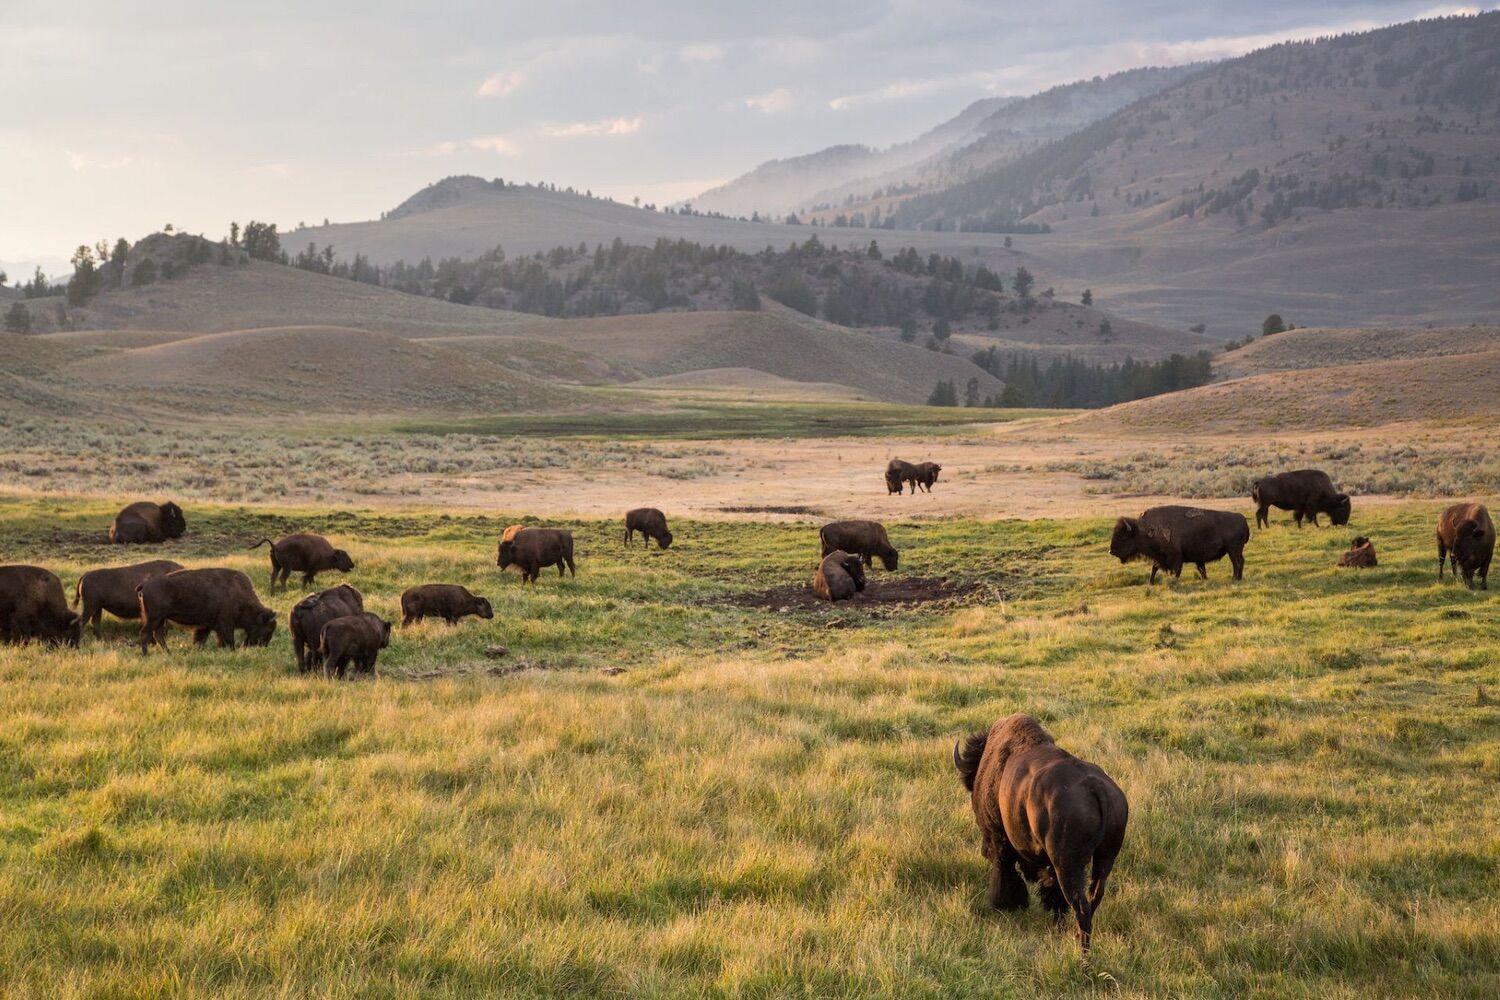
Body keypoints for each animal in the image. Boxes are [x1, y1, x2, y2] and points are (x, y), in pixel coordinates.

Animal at [137, 568, 276, 653]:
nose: (263, 646)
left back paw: (169, 653)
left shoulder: (206, 626)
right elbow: (228, 639)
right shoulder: (225, 624)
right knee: (145, 633)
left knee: (158, 635)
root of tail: (145, 584)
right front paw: (232, 651)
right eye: (268, 629)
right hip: (154, 618)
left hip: (160, 619)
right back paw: (146, 654)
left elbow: (201, 639)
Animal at [954, 714, 1129, 951]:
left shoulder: (1000, 841)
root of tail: (1096, 788)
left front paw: (1003, 905)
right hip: (1105, 858)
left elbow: (1005, 872)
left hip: (1068, 865)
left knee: (1080, 905)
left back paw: (1082, 951)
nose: (983, 850)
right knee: (1093, 897)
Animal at [1111, 505, 1249, 583]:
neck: (1143, 530)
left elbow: (1176, 570)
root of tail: (1243, 519)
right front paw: (1151, 583)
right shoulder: (1159, 557)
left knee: (1237, 563)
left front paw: (1173, 581)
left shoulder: (1175, 556)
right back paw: (1239, 578)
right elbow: (1154, 568)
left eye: (1122, 536)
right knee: (1241, 562)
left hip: (1233, 550)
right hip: (1236, 550)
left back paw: (1234, 579)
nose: (1111, 551)